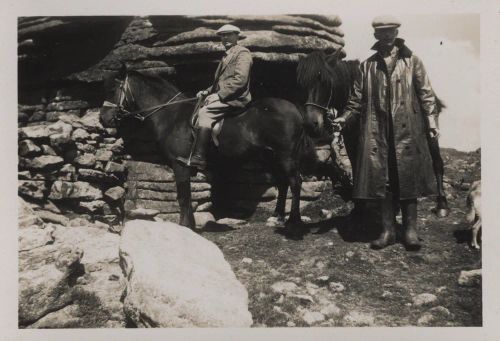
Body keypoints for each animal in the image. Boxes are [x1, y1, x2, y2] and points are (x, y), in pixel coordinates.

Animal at [99, 64, 316, 231]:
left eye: (112, 90)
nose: (103, 119)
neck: (172, 114)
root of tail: (295, 108)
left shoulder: (181, 166)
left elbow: (183, 196)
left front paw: (185, 226)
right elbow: (185, 197)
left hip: (285, 156)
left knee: (295, 182)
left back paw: (293, 222)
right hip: (270, 156)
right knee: (282, 182)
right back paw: (277, 217)